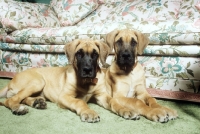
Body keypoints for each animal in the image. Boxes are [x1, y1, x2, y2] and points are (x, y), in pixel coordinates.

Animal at [0, 39, 138, 122]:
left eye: (95, 54)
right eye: (79, 54)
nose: (87, 70)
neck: (86, 83)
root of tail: (12, 79)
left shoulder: (102, 95)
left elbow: (113, 101)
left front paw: (126, 110)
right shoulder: (64, 97)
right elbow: (79, 102)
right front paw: (89, 112)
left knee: (19, 97)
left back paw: (37, 102)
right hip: (38, 82)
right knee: (9, 100)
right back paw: (18, 108)